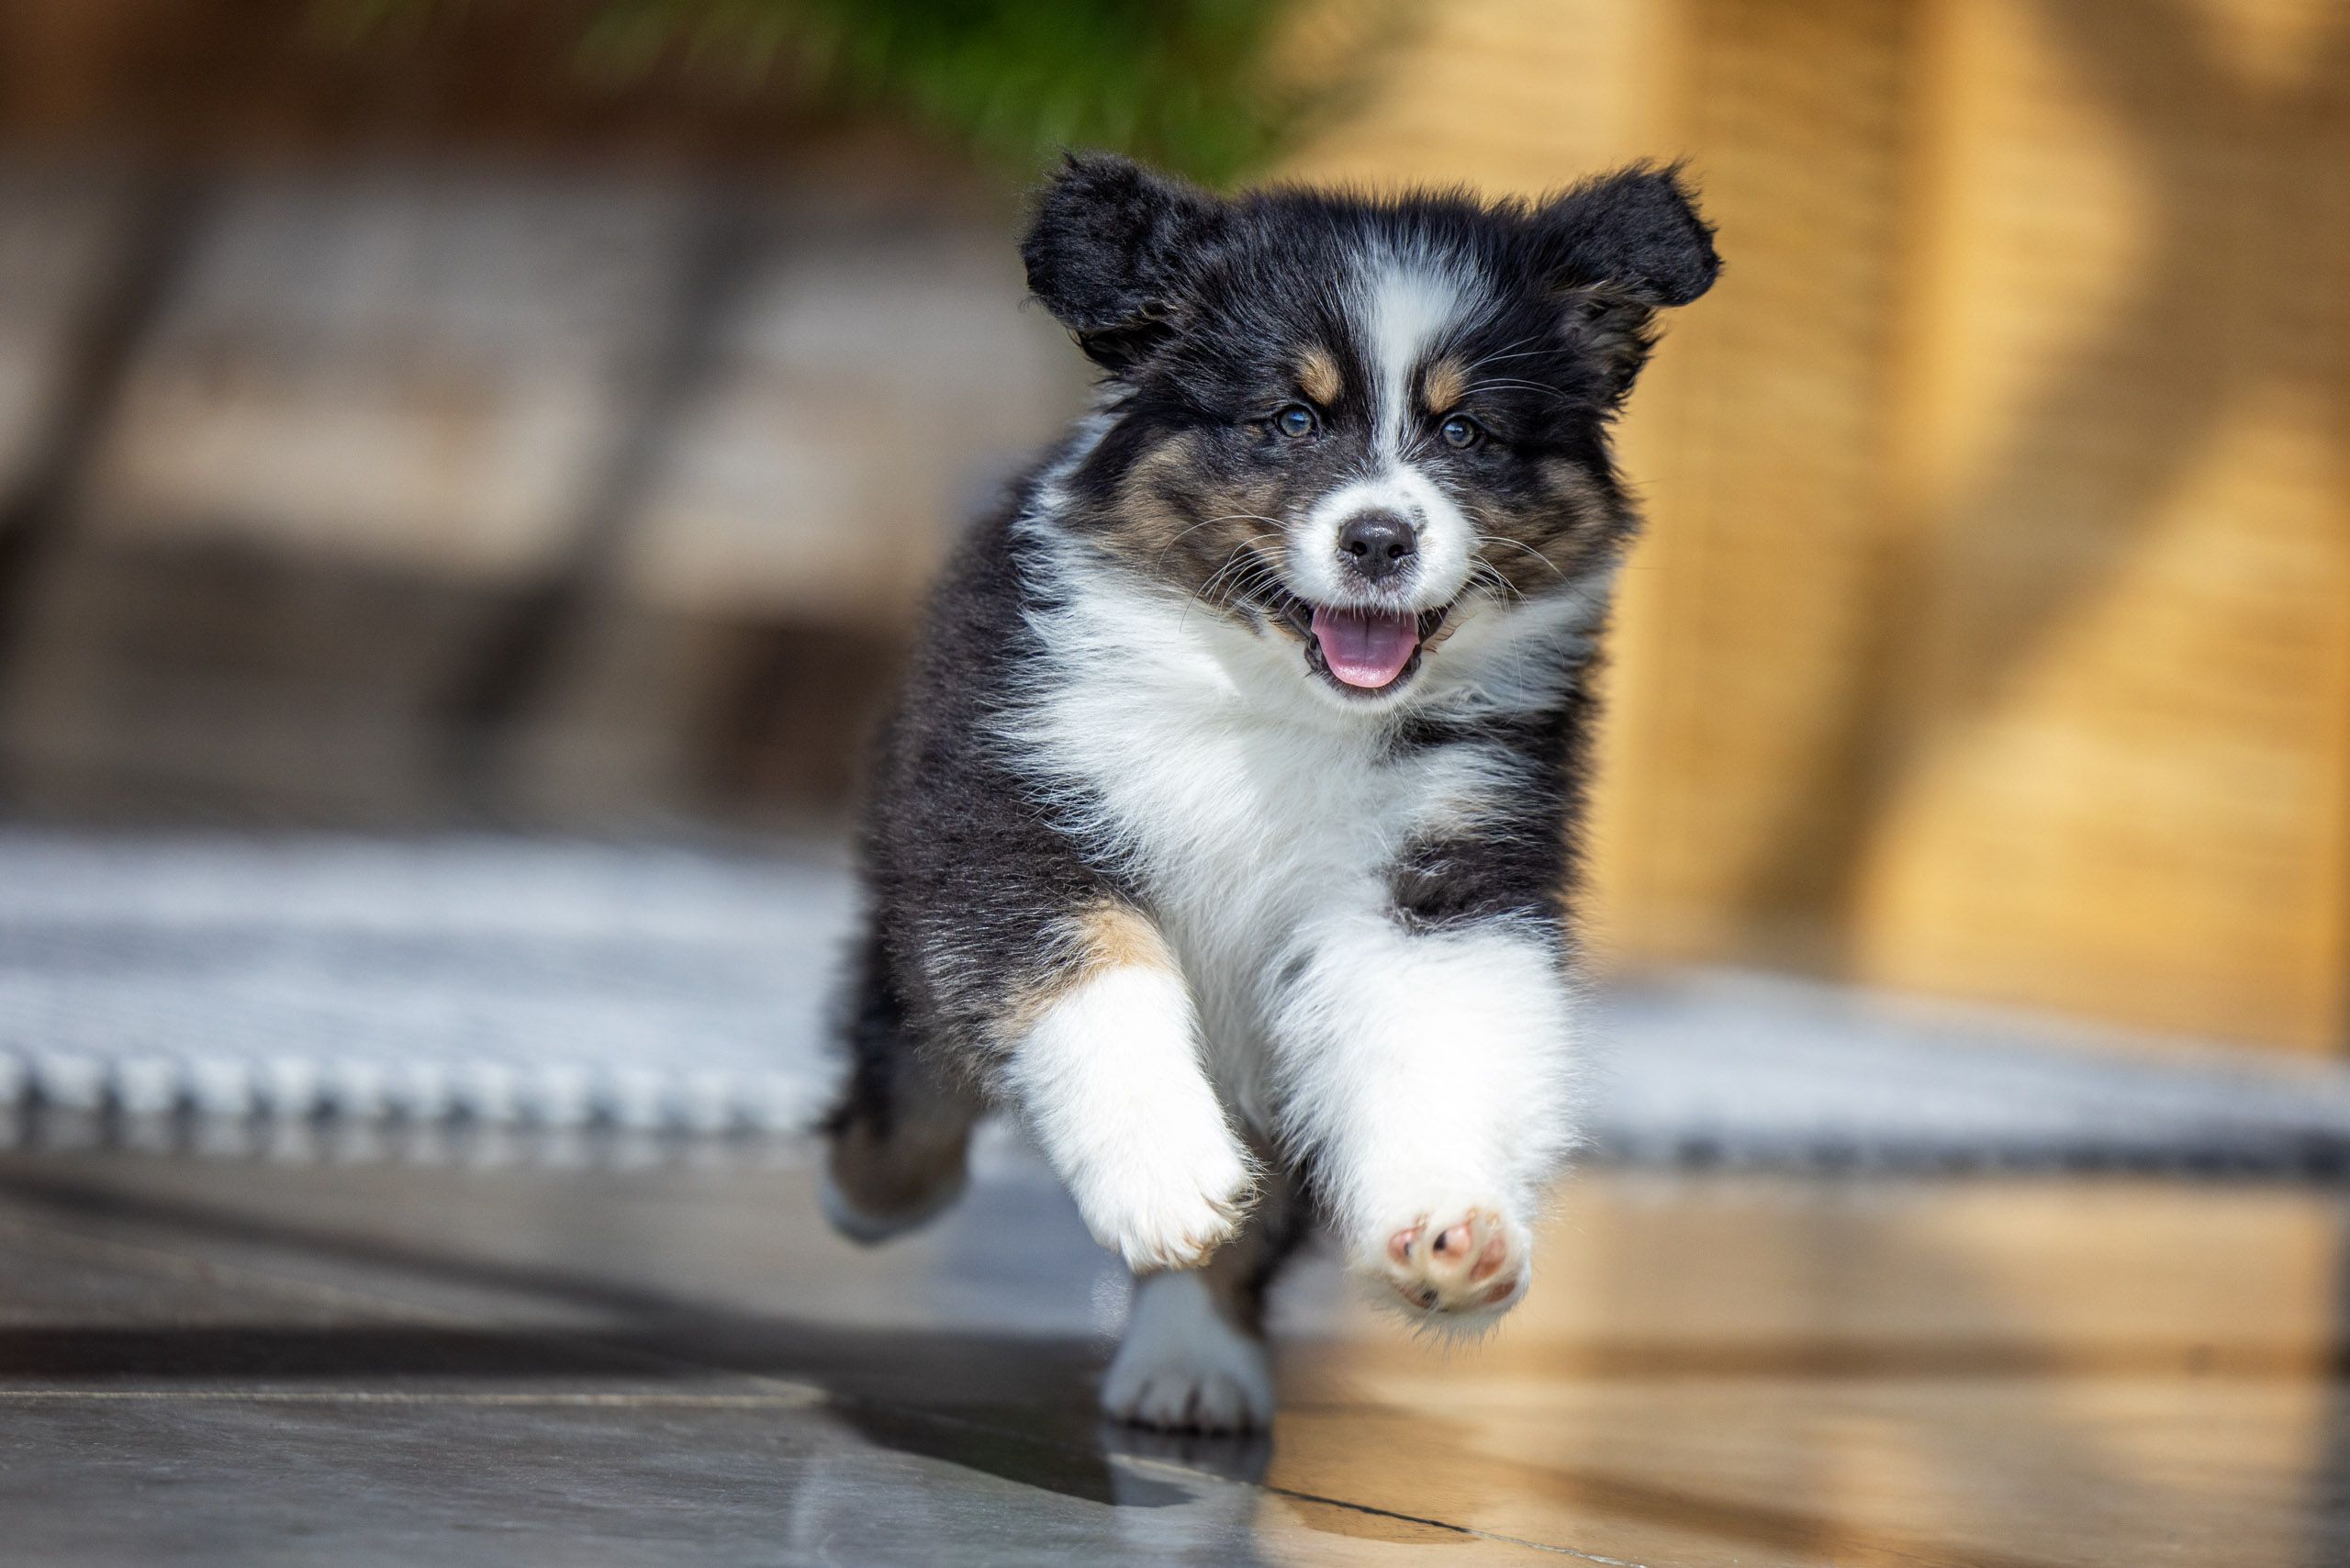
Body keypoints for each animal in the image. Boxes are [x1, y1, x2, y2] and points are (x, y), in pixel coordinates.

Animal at [817, 156, 1719, 1439]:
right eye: (1291, 419)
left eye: (1467, 430)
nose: (1380, 538)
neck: (1280, 707)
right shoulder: (1013, 805)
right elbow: (1095, 983)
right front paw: (1161, 1175)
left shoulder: (1439, 872)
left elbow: (1439, 1034)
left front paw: (1453, 1231)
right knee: (910, 1077)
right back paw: (876, 1194)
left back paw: (1192, 1357)